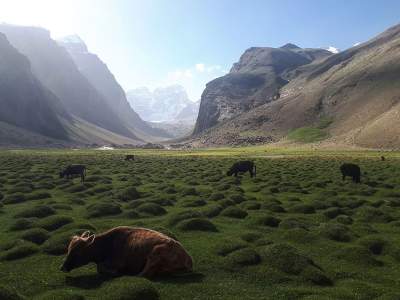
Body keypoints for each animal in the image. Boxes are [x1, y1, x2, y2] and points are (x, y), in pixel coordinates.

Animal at [59, 226, 194, 278]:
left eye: (77, 252)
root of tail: (188, 259)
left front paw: (116, 272)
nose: (62, 267)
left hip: (155, 253)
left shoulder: (118, 262)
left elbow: (101, 268)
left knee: (144, 274)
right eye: (68, 249)